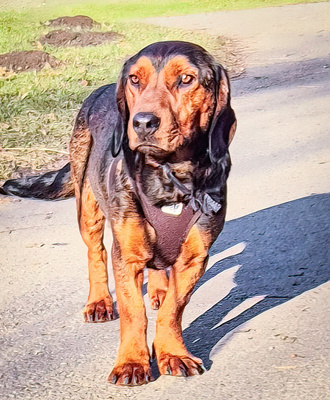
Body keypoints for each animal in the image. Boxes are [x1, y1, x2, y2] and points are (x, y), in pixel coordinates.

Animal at [0, 39, 237, 384]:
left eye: (186, 79)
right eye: (135, 80)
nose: (142, 122)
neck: (170, 176)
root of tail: (99, 90)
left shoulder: (194, 257)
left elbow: (173, 309)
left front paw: (172, 352)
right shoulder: (125, 253)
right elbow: (133, 311)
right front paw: (132, 363)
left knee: (157, 268)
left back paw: (158, 289)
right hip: (87, 205)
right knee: (95, 253)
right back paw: (99, 300)